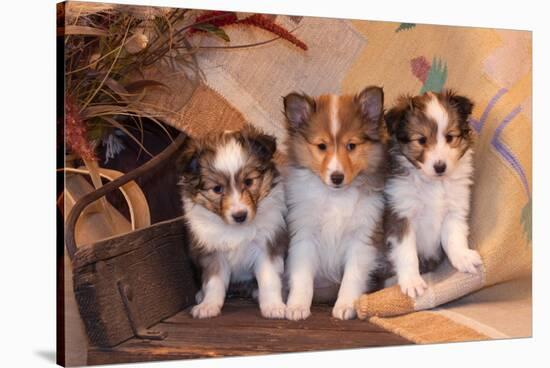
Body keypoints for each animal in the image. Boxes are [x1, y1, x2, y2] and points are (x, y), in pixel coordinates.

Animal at [180, 127, 288, 320]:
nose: (240, 215)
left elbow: (269, 280)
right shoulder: (212, 251)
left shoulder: (268, 244)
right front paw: (208, 306)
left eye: (249, 181)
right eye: (217, 189)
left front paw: (274, 306)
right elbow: (214, 282)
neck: (237, 229)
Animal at [282, 85, 386, 320]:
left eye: (351, 145)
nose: (337, 177)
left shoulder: (362, 238)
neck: (336, 197)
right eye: (322, 146)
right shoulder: (303, 235)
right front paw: (297, 307)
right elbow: (302, 277)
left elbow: (352, 277)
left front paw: (346, 306)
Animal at [384, 90, 484, 300]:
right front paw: (412, 282)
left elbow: (454, 237)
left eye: (450, 137)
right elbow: (407, 252)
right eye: (421, 140)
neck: (434, 183)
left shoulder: (455, 210)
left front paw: (463, 257)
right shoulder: (400, 215)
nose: (440, 167)